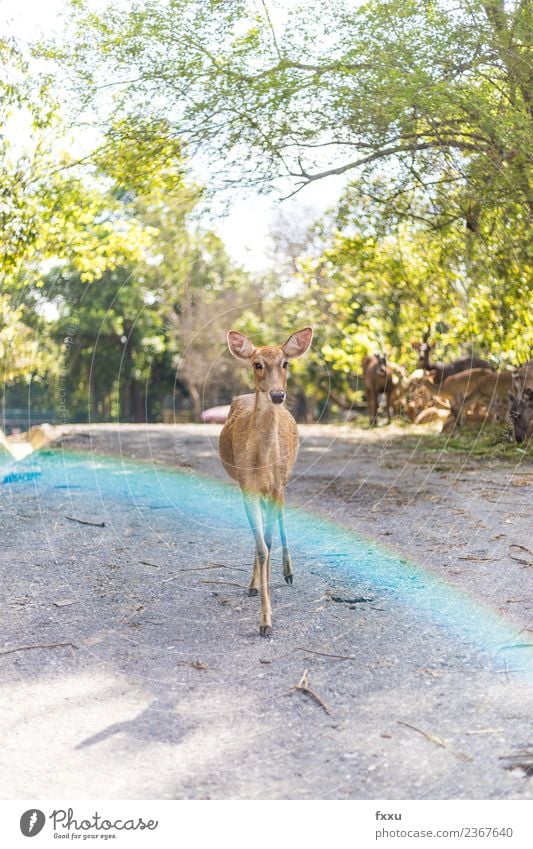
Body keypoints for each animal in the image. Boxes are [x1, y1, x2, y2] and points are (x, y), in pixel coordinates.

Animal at [219, 326, 314, 636]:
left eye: (285, 363)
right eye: (257, 364)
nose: (277, 394)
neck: (262, 462)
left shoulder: (276, 485)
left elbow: (268, 541)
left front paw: (266, 615)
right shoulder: (246, 486)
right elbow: (261, 545)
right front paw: (264, 619)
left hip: (283, 482)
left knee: (282, 518)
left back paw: (288, 572)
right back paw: (254, 584)